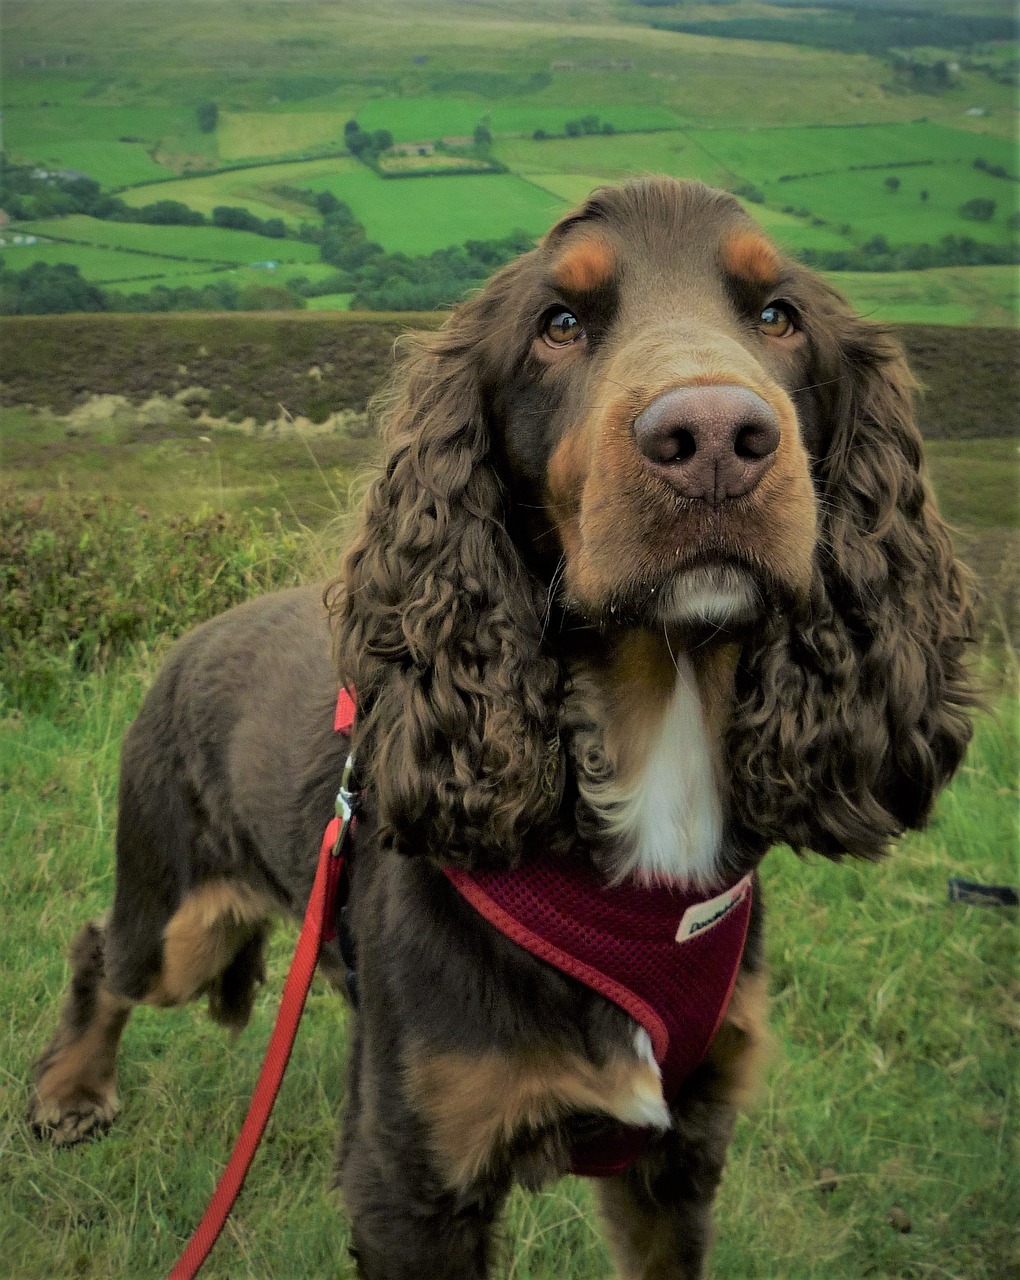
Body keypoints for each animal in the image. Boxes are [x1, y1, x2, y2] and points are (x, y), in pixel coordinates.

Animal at [29, 180, 972, 1280]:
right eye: (556, 325)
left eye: (780, 315)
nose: (714, 437)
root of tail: (194, 637)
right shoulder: (411, 1180)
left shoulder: (681, 1157)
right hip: (177, 914)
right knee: (101, 951)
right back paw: (69, 1093)